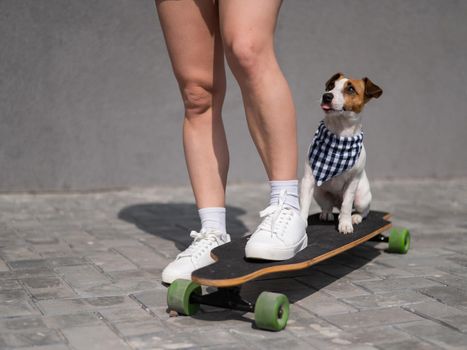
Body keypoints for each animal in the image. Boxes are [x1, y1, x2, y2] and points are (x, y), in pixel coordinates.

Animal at [302, 72, 382, 234]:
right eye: (330, 86)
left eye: (350, 89)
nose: (326, 96)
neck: (339, 135)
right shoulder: (308, 180)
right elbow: (303, 205)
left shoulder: (352, 182)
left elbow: (347, 205)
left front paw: (345, 224)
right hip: (319, 192)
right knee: (327, 204)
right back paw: (326, 213)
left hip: (362, 198)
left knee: (361, 210)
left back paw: (355, 217)